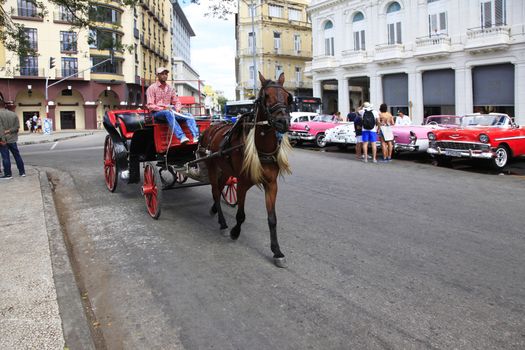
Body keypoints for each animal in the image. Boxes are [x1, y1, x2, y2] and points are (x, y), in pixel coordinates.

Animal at [199, 72, 292, 268]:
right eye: (266, 96)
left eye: (288, 97)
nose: (284, 122)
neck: (260, 148)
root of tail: (211, 127)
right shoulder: (242, 183)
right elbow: (241, 214)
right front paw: (235, 232)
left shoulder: (271, 184)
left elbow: (272, 219)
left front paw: (277, 251)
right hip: (212, 166)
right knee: (215, 191)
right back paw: (223, 223)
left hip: (226, 170)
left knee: (220, 188)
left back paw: (214, 209)